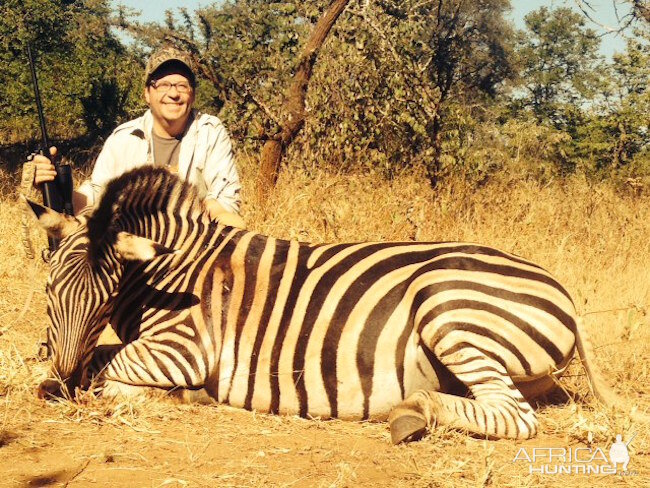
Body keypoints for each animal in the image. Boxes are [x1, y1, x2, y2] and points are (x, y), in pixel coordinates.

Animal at [26, 167, 624, 442]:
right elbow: (98, 361)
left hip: (448, 307)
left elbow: (108, 366)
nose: (59, 377)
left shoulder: (186, 347)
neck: (171, 270)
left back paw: (413, 410)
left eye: (105, 296)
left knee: (515, 416)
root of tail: (563, 292)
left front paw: (167, 395)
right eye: (51, 291)